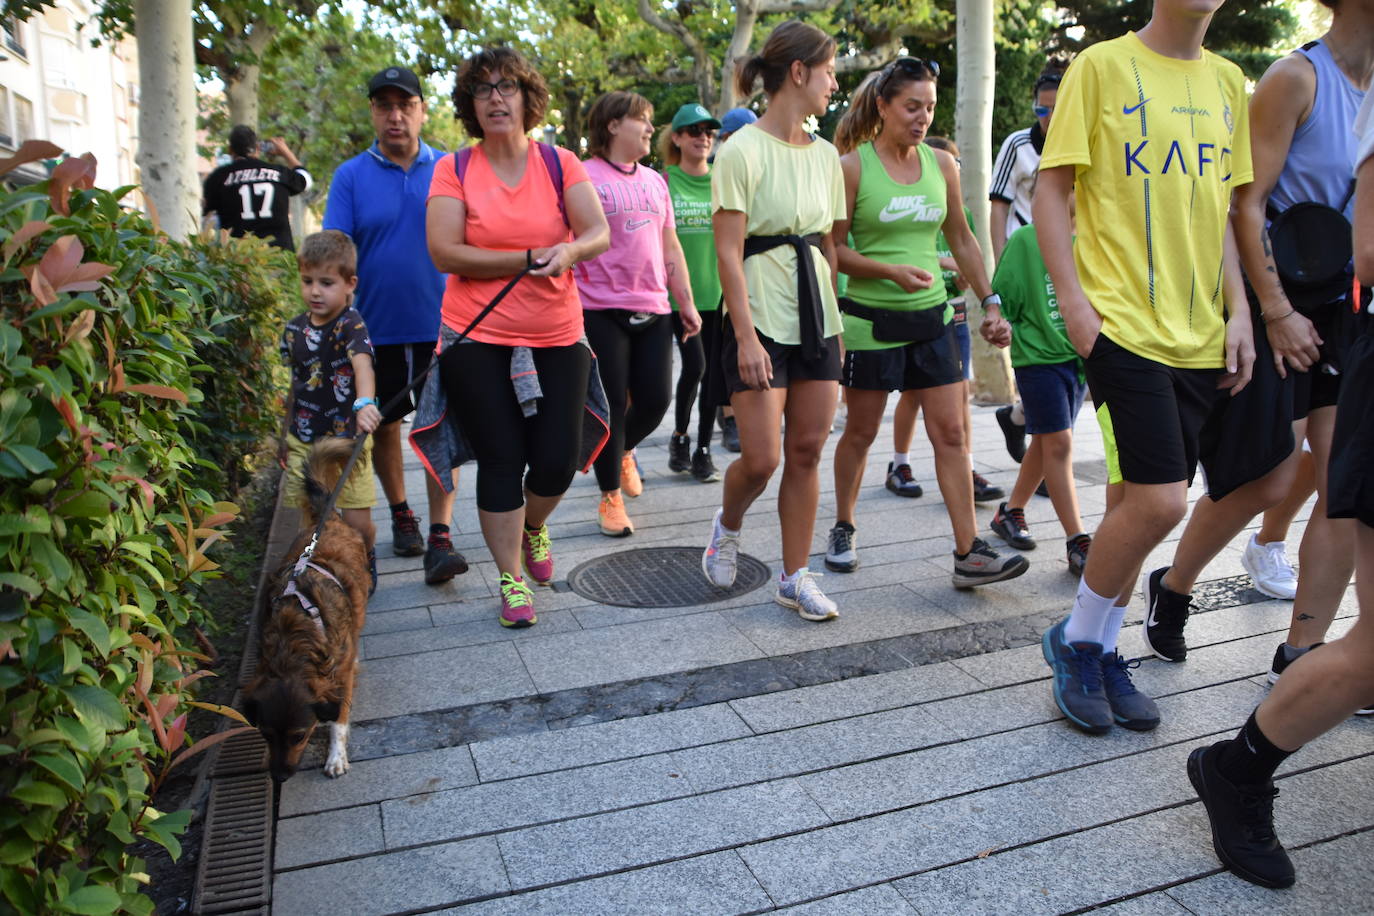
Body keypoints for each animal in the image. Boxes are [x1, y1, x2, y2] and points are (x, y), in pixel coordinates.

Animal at [243, 439, 368, 780]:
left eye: (299, 736)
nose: (278, 776)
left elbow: (339, 719)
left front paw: (336, 756)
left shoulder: (341, 674)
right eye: (265, 734)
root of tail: (330, 520)